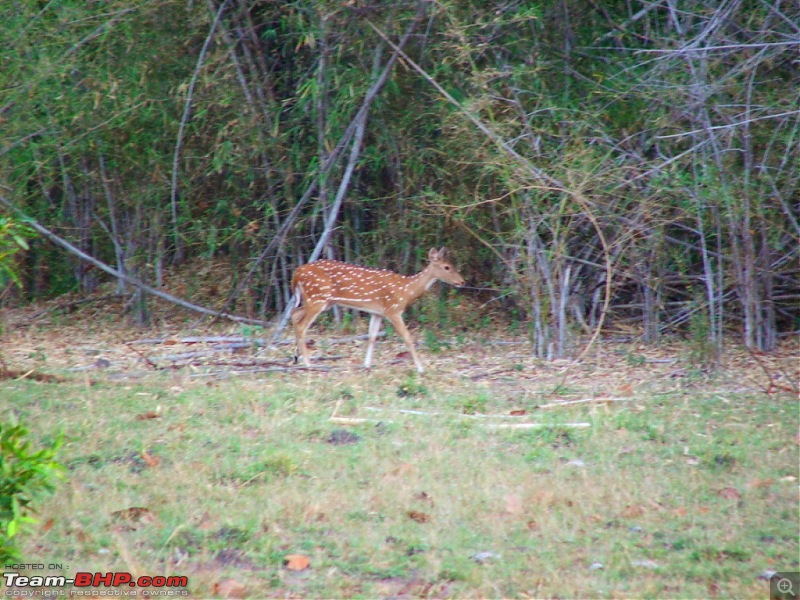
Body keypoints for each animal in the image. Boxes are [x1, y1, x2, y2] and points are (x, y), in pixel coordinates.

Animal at [290, 247, 466, 370]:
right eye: (447, 267)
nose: (462, 281)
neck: (406, 291)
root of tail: (297, 272)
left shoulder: (377, 313)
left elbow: (372, 337)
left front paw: (366, 365)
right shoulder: (393, 310)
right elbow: (408, 338)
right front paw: (421, 368)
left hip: (321, 301)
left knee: (294, 313)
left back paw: (296, 357)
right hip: (317, 298)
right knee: (302, 325)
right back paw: (308, 363)